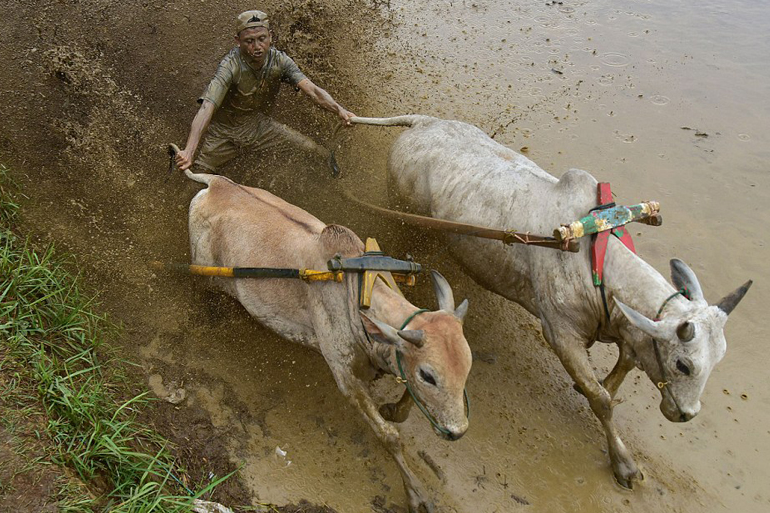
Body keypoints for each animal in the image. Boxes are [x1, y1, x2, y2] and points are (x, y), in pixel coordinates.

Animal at [183, 169, 472, 512]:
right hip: (205, 276)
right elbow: (390, 436)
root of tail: (216, 183)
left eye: (466, 369)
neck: (359, 292)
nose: (458, 431)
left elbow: (403, 402)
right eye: (428, 375)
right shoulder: (345, 376)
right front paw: (417, 495)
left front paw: (393, 410)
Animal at [352, 114, 752, 486]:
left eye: (718, 359)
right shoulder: (561, 335)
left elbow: (620, 368)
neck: (596, 260)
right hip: (404, 217)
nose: (686, 414)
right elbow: (602, 401)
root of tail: (424, 122)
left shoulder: (625, 329)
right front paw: (624, 463)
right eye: (683, 365)